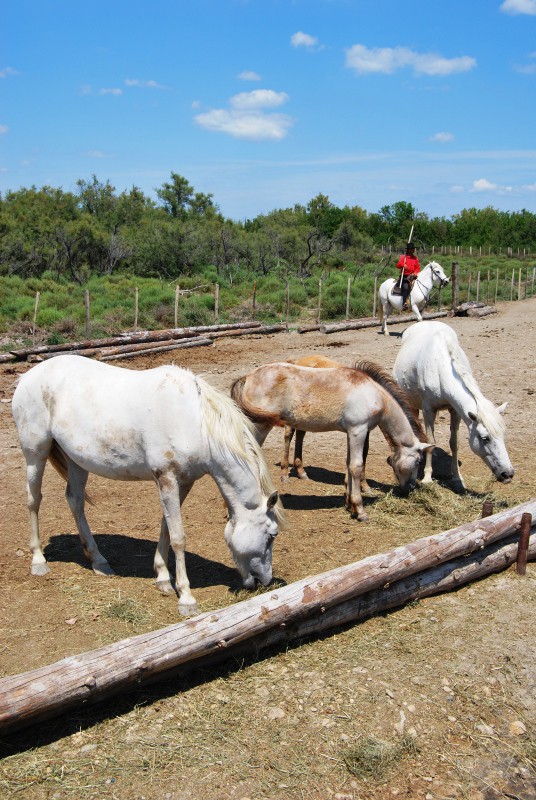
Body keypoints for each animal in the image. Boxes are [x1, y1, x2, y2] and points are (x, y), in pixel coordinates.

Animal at [11, 354, 280, 612]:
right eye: (271, 536)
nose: (264, 581)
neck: (195, 421)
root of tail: (27, 377)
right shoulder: (167, 478)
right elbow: (178, 537)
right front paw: (186, 597)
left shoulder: (183, 482)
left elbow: (166, 526)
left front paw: (162, 577)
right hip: (35, 453)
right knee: (34, 500)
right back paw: (38, 561)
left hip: (76, 460)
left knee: (75, 501)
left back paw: (99, 560)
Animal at [232, 360, 434, 520]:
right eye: (418, 461)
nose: (410, 488)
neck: (375, 395)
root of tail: (248, 377)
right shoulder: (359, 430)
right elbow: (356, 466)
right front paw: (360, 510)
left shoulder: (351, 432)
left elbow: (349, 464)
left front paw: (350, 504)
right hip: (259, 427)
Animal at [394, 320, 516, 488]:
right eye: (485, 438)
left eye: (503, 435)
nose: (508, 474)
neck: (440, 368)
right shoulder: (428, 410)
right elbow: (431, 443)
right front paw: (427, 478)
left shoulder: (456, 411)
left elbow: (454, 443)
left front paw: (457, 477)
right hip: (412, 403)